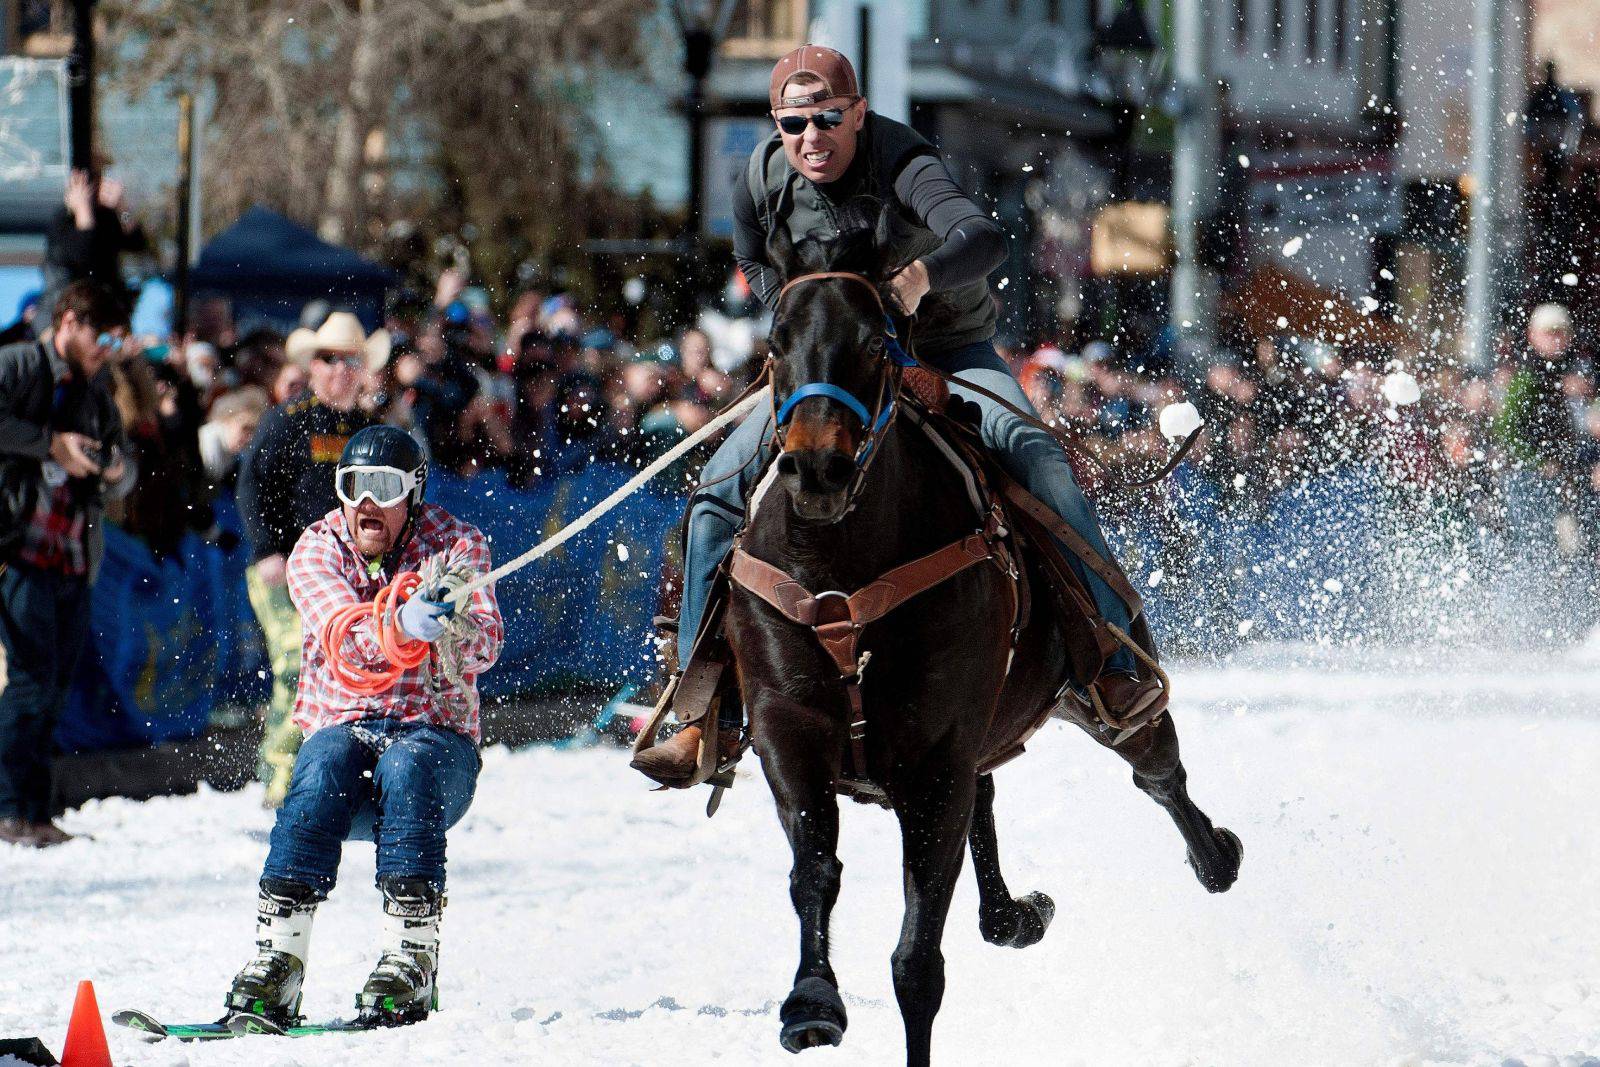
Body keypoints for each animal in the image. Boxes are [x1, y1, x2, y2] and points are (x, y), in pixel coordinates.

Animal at [729, 211, 1248, 1067]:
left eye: (876, 340)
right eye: (774, 340)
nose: (817, 468)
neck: (844, 572)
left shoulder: (939, 754)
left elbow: (917, 962)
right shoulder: (786, 728)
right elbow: (815, 868)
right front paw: (810, 1002)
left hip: (1102, 678)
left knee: (1157, 769)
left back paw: (1215, 856)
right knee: (994, 815)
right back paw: (1021, 911)